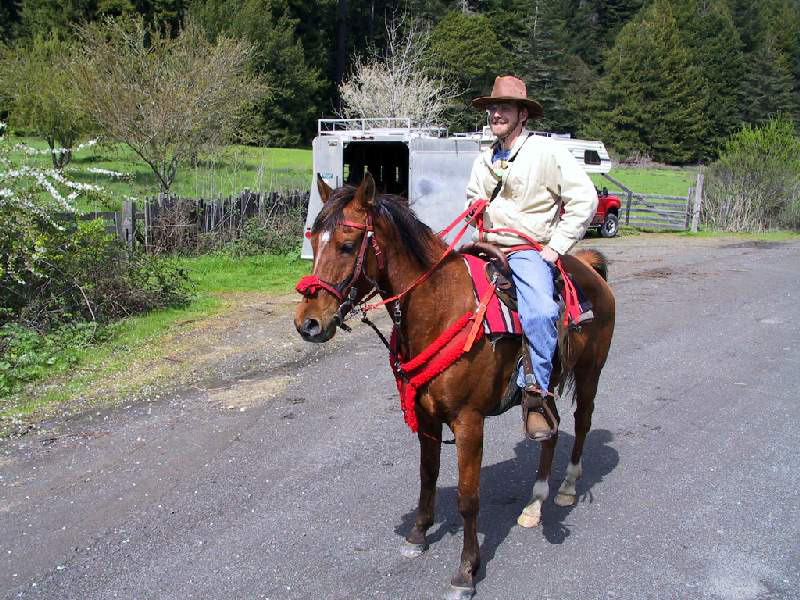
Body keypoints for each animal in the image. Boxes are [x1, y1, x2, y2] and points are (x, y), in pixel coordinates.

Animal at [294, 174, 615, 599]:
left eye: (347, 244)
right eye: (314, 241)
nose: (308, 324)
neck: (441, 308)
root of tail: (591, 269)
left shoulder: (468, 422)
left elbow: (467, 497)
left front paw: (466, 571)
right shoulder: (428, 417)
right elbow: (427, 476)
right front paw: (417, 535)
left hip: (591, 371)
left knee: (582, 423)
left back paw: (567, 487)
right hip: (544, 391)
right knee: (549, 428)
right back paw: (534, 505)